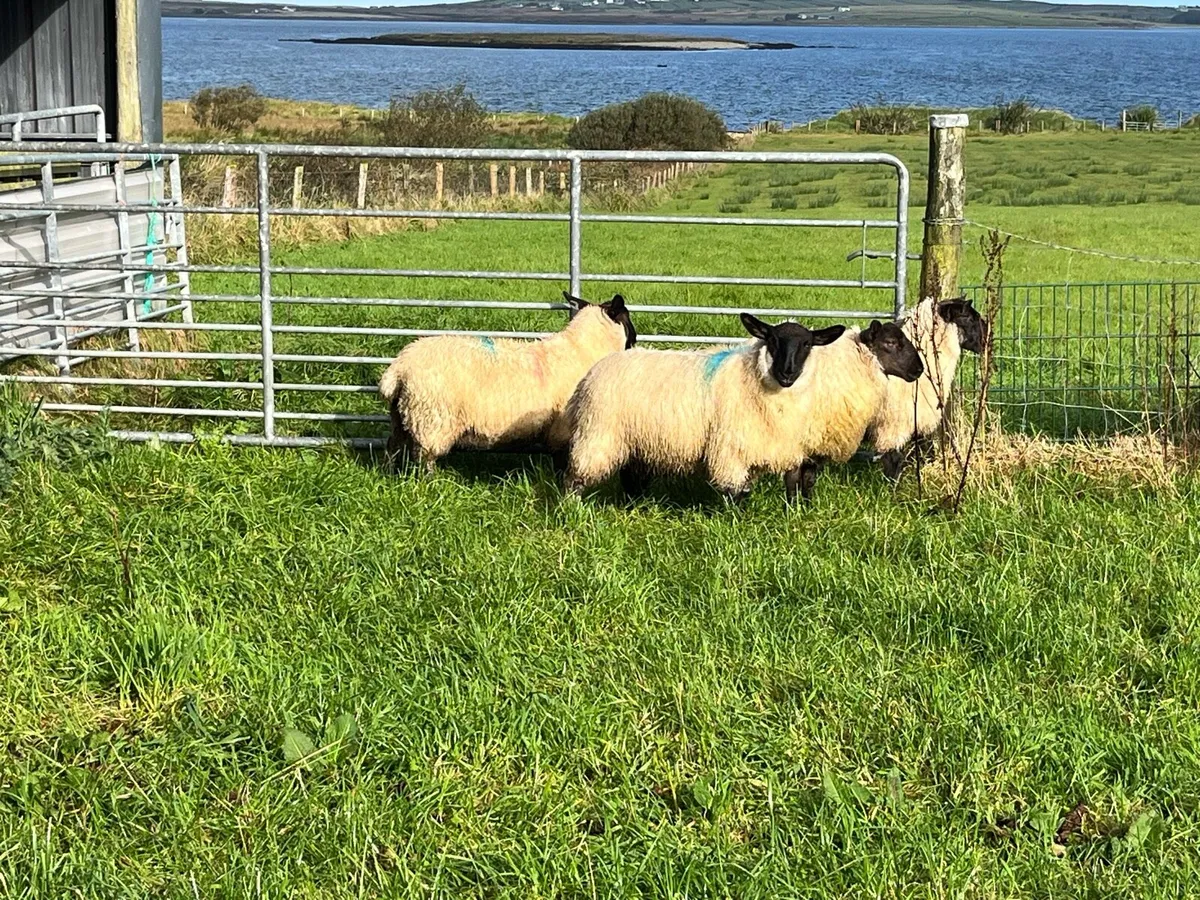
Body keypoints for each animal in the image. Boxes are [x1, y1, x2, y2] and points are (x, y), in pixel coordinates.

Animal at [378, 292, 636, 471]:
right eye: (628, 318)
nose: (634, 341)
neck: (583, 350)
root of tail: (399, 368)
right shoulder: (563, 427)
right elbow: (561, 460)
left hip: (402, 414)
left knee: (393, 447)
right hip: (432, 418)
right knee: (424, 458)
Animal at [563, 313, 923, 504]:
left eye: (807, 344)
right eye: (891, 344)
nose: (919, 370)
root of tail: (592, 372)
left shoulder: (798, 443)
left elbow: (805, 480)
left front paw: (802, 510)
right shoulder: (738, 444)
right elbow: (744, 489)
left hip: (634, 439)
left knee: (630, 475)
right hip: (599, 434)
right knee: (576, 476)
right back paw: (573, 510)